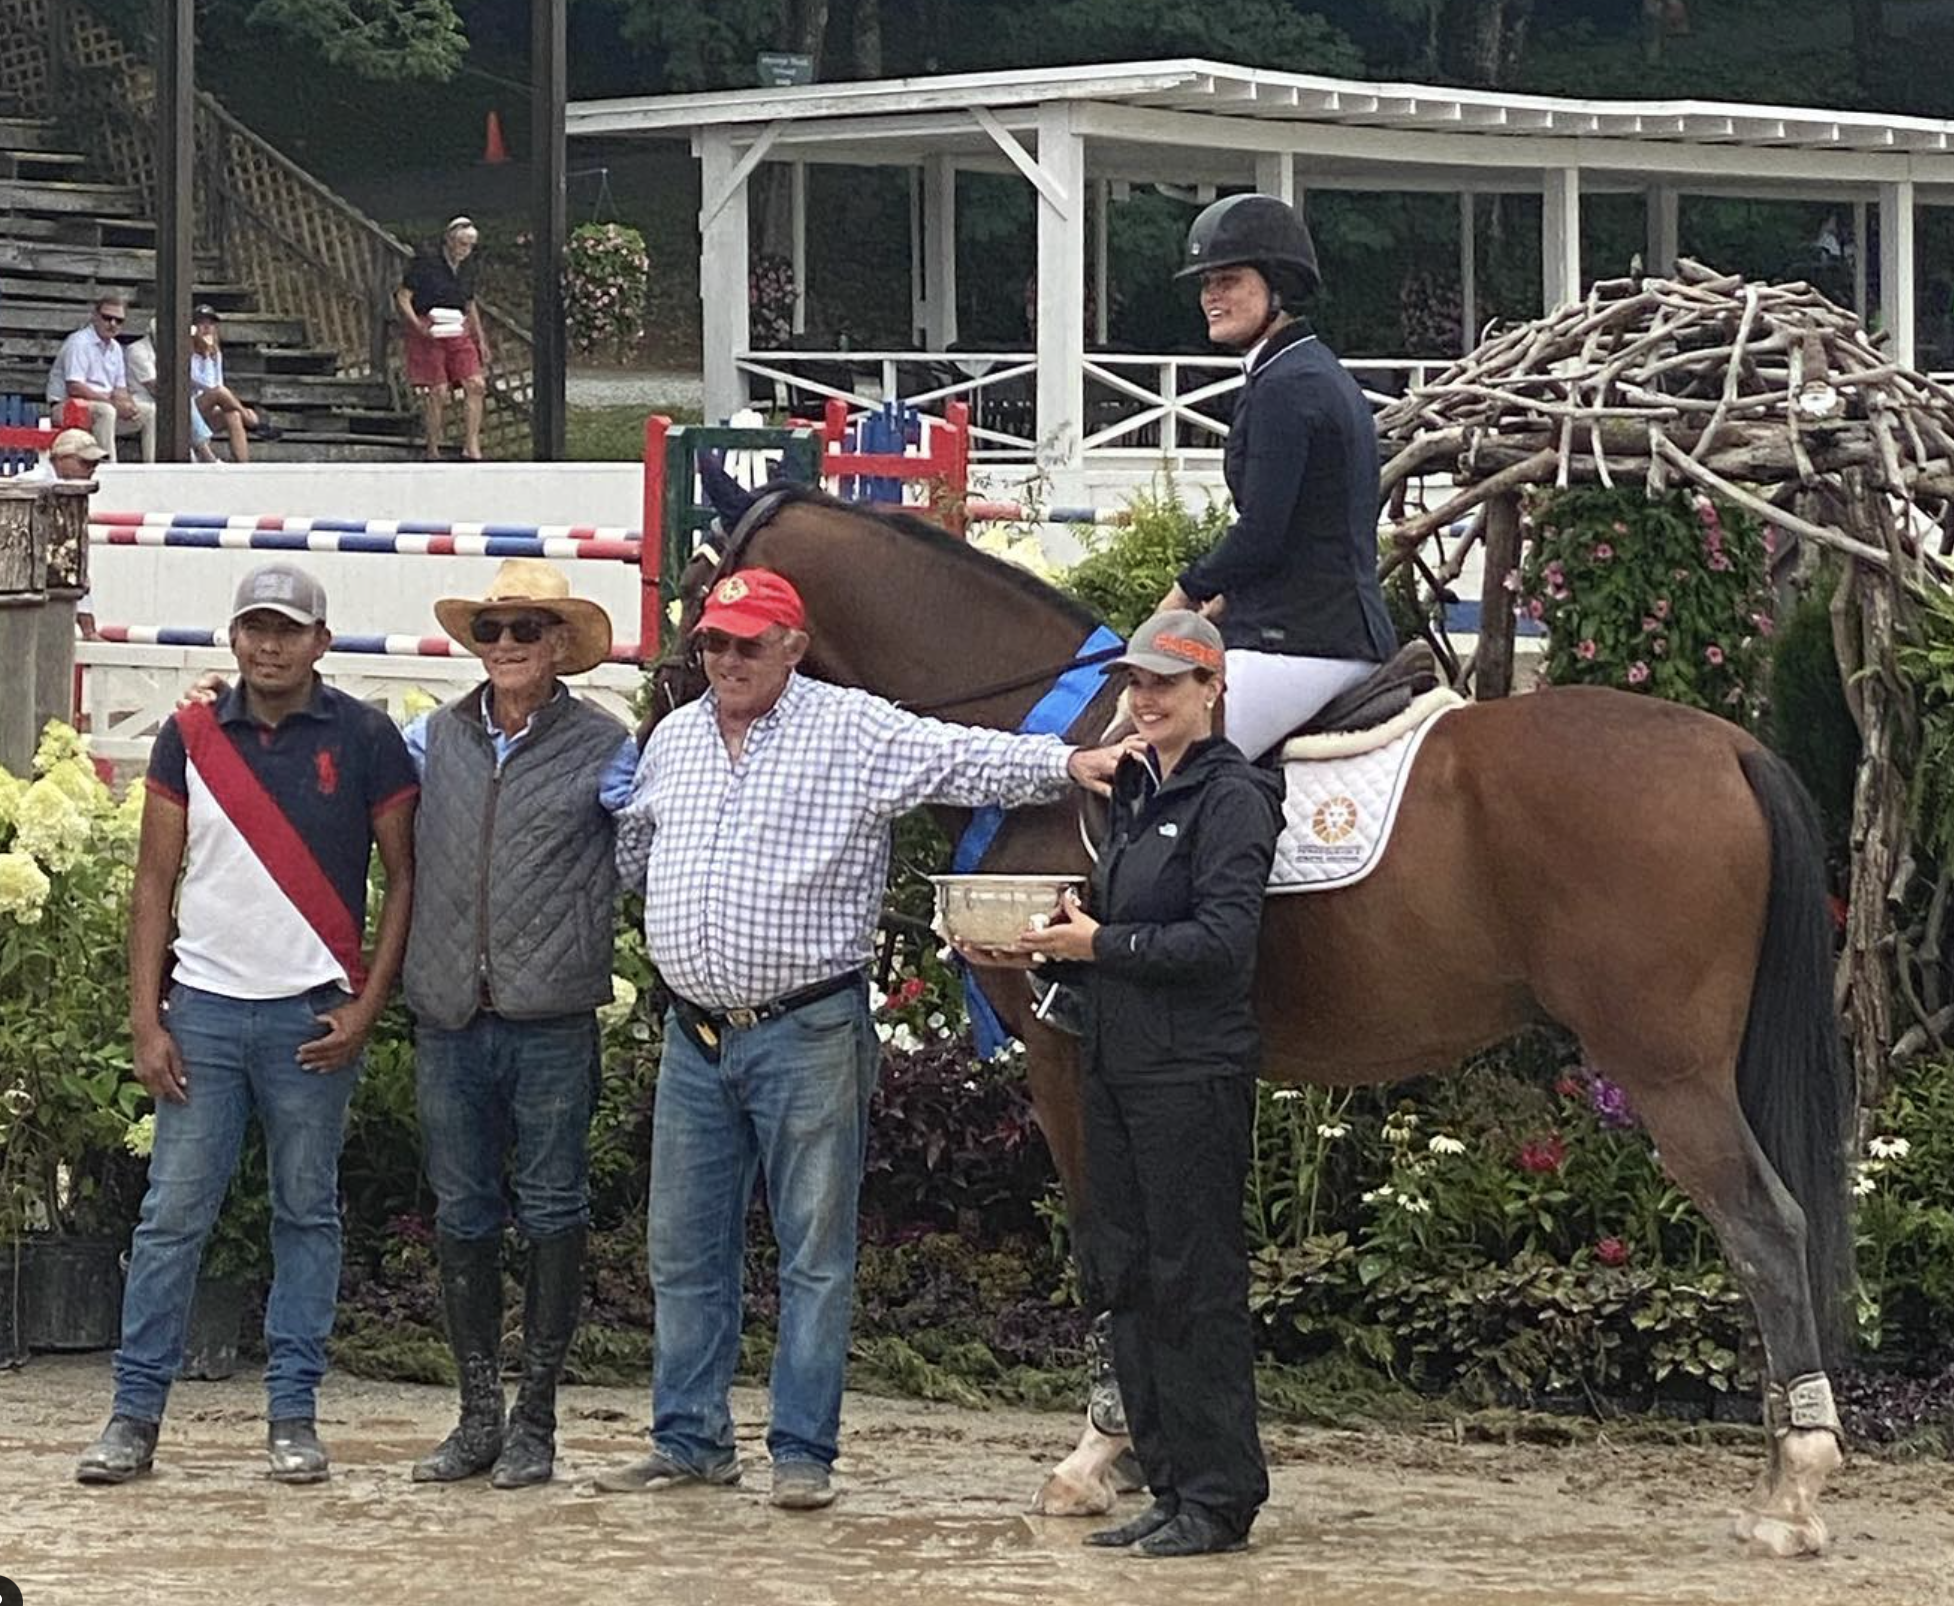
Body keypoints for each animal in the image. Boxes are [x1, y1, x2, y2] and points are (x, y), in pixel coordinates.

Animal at [652, 480, 1844, 1563]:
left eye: (699, 588)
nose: (670, 696)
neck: (1037, 727)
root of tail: (1729, 749)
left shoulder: (1066, 1059)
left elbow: (1105, 1247)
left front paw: (1103, 1455)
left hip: (1668, 1072)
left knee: (1764, 1228)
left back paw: (1794, 1490)